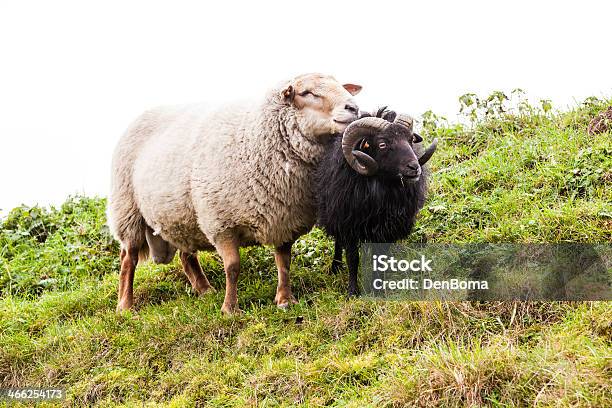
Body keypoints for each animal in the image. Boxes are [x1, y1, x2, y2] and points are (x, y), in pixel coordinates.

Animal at [107, 73, 360, 314]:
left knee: (186, 255)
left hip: (183, 217)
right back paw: (125, 306)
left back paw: (205, 290)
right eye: (307, 92)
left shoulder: (285, 219)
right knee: (128, 259)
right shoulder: (221, 223)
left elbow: (284, 263)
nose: (353, 108)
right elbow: (233, 267)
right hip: (128, 210)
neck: (254, 139)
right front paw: (230, 309)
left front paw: (285, 300)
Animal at [314, 107, 438, 294]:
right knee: (338, 241)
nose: (415, 167)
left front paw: (378, 288)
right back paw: (335, 267)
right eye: (382, 144)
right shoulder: (349, 225)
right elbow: (352, 258)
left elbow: (380, 258)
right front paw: (352, 292)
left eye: (410, 140)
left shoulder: (387, 229)